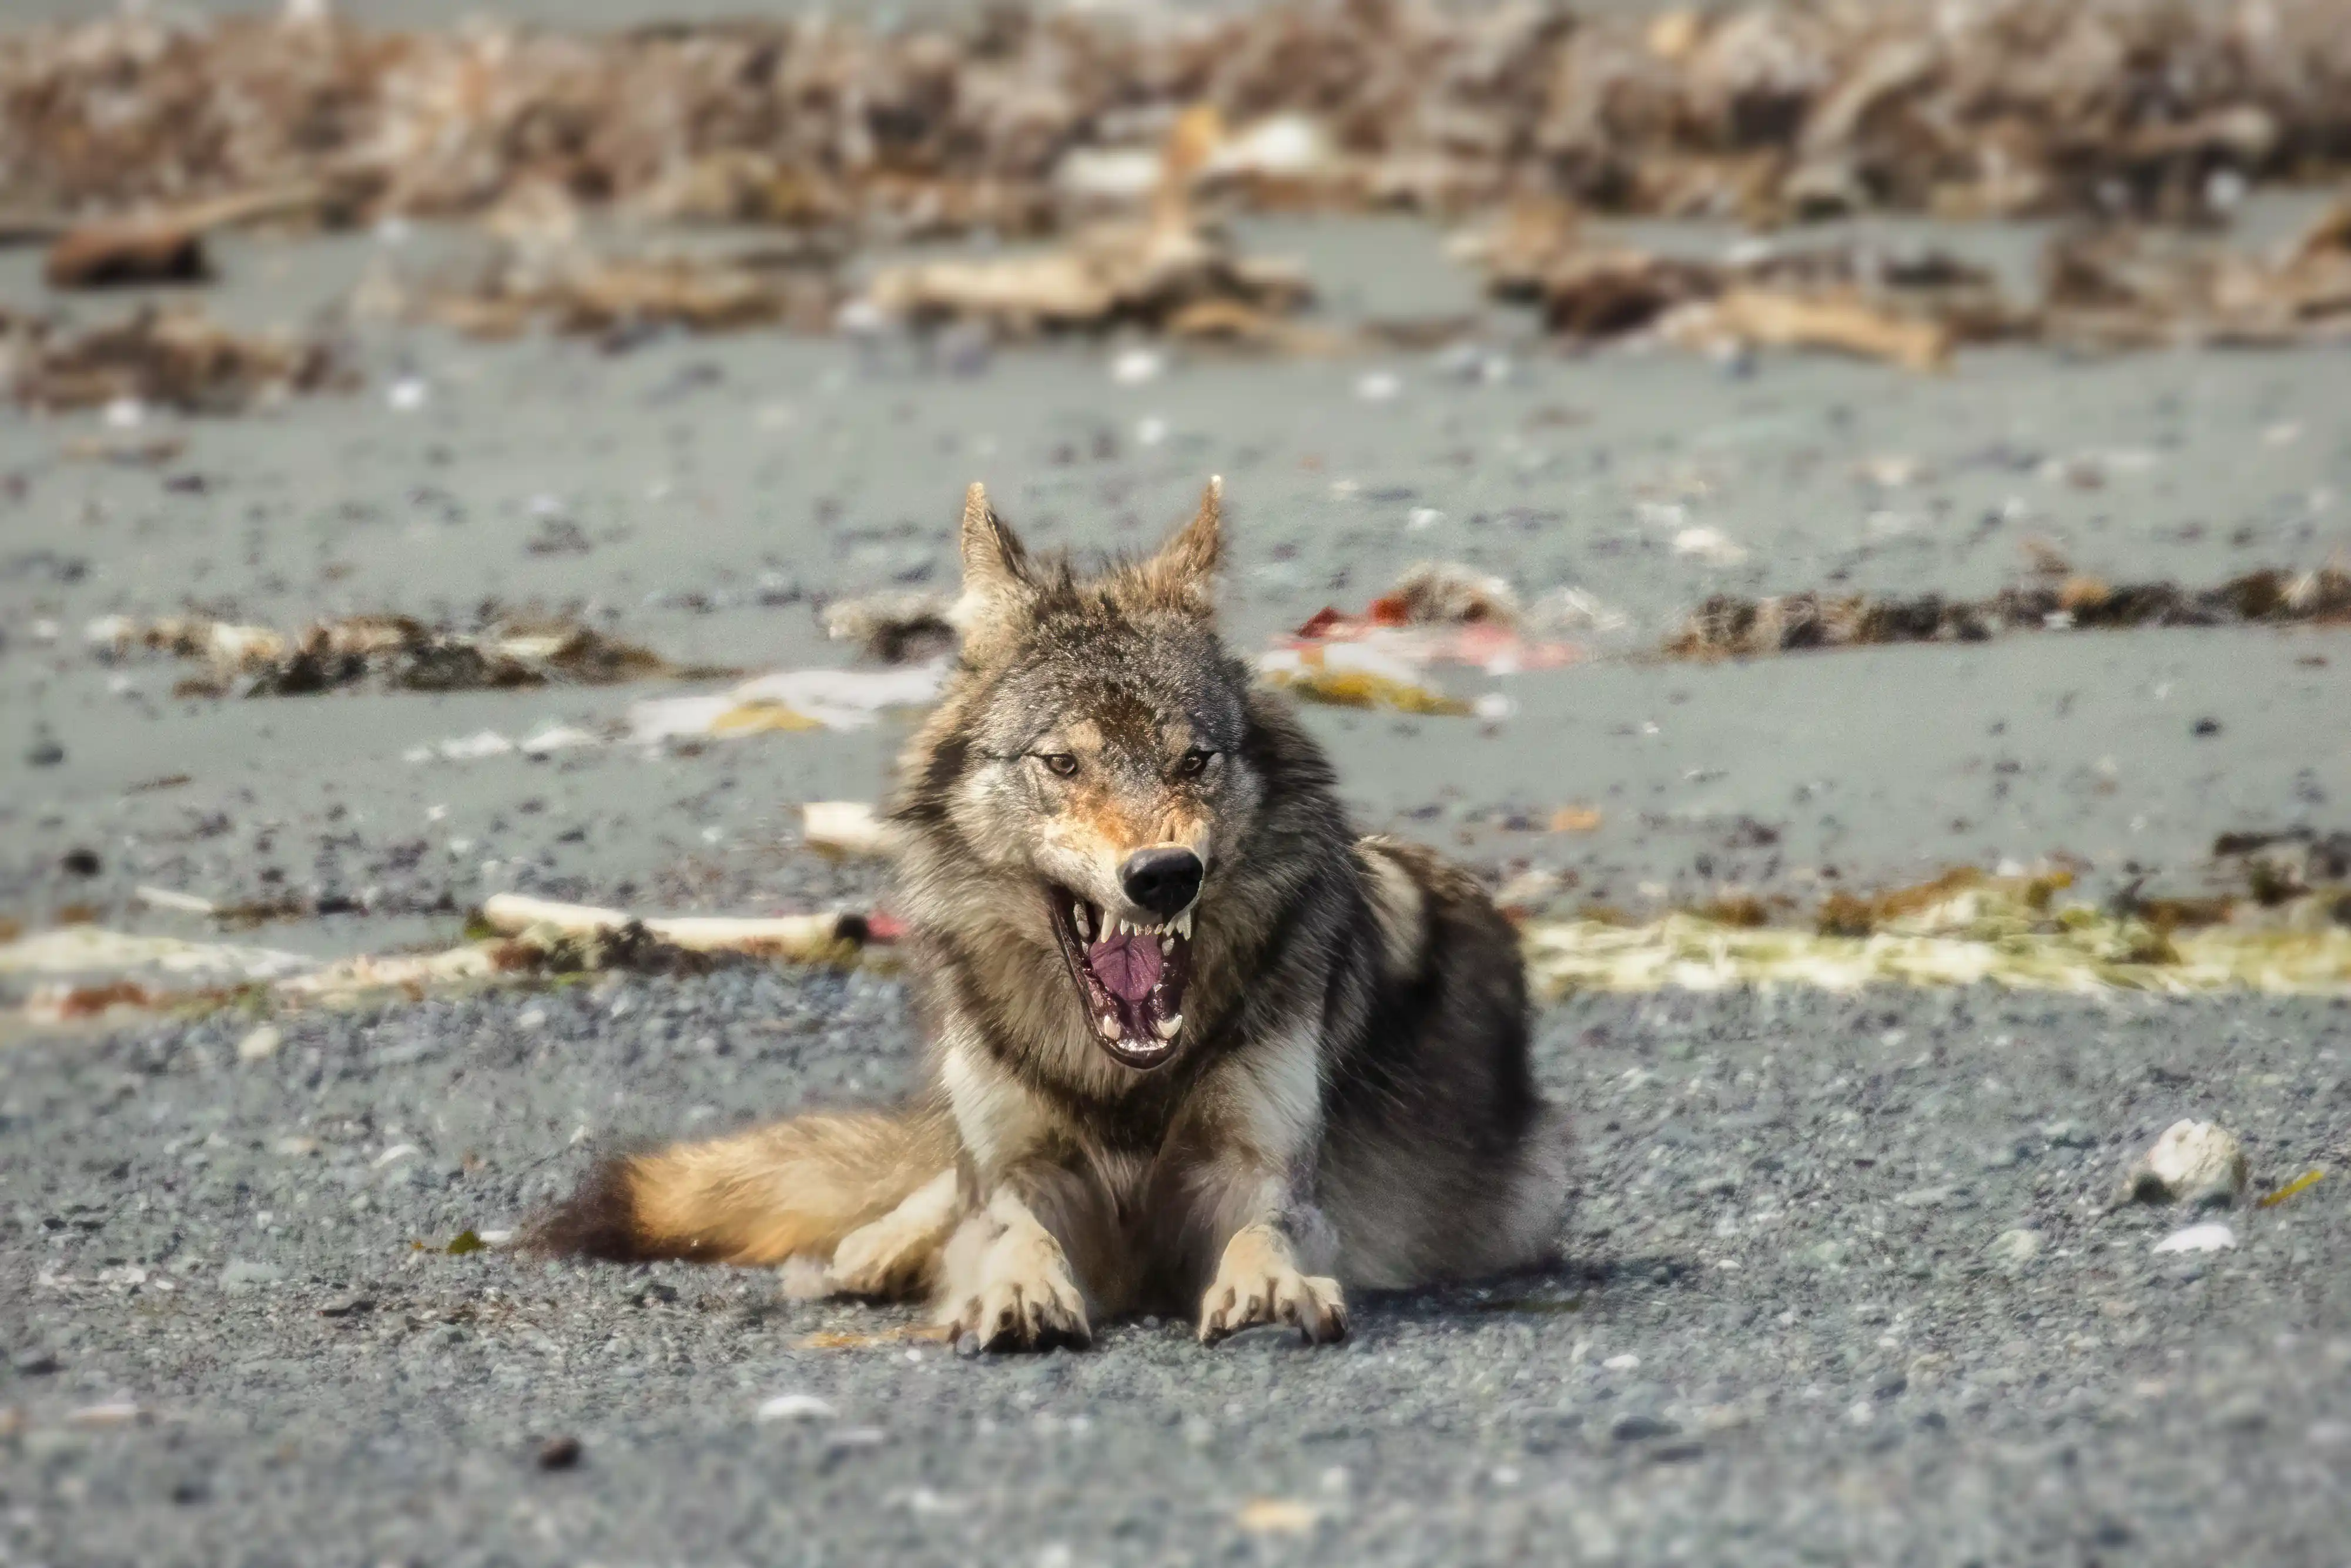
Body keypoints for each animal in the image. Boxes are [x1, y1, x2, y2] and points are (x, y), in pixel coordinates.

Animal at [531, 479, 1571, 1350]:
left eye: (1194, 760)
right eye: (1063, 763)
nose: (1164, 875)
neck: (1120, 1087)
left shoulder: (1261, 1170)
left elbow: (1265, 1232)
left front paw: (1269, 1286)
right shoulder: (1023, 1171)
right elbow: (1008, 1229)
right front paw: (1015, 1289)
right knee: (932, 1188)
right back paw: (873, 1251)